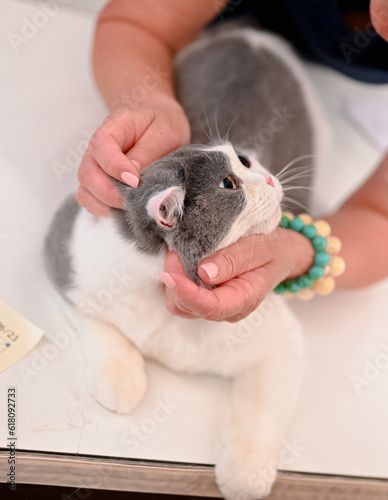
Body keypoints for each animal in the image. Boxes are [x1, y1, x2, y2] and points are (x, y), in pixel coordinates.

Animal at [44, 20, 328, 500]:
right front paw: (121, 376)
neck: (160, 297)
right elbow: (96, 324)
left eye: (245, 159)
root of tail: (247, 32)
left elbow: (263, 412)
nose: (270, 177)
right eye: (231, 182)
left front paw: (245, 472)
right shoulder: (64, 250)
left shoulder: (279, 341)